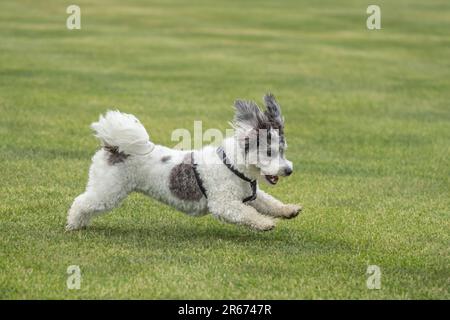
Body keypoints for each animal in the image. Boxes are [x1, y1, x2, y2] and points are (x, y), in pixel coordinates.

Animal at [67, 94, 302, 231]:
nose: (288, 170)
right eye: (269, 152)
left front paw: (288, 210)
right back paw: (73, 225)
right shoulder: (224, 203)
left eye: (283, 150)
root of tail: (114, 146)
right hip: (108, 189)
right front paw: (266, 223)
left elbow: (269, 203)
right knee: (81, 202)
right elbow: (248, 214)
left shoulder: (248, 194)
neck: (232, 166)